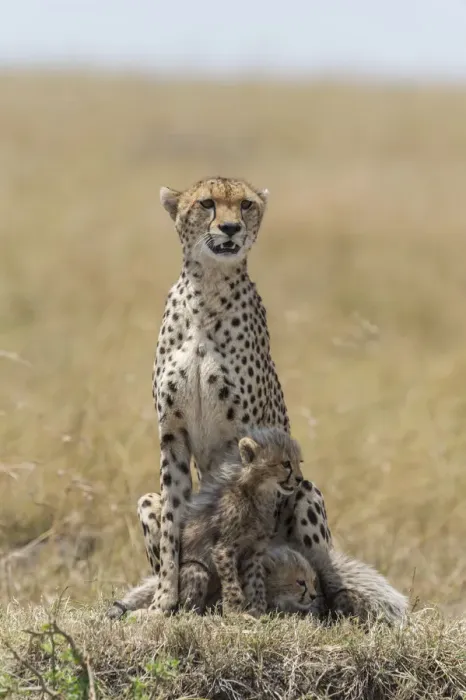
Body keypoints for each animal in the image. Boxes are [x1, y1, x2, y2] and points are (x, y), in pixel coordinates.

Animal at [150, 176, 332, 612]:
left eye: (246, 204)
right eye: (207, 203)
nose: (231, 228)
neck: (206, 293)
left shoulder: (242, 438)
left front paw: (243, 605)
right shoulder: (172, 434)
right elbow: (172, 524)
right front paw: (164, 601)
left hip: (306, 493)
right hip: (146, 500)